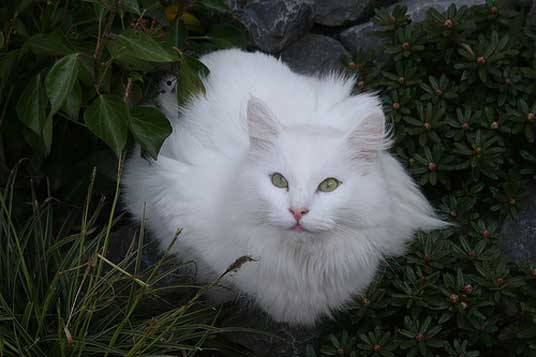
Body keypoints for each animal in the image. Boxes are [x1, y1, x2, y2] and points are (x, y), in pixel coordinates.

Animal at [123, 48, 446, 324]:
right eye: (279, 180)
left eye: (329, 185)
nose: (298, 211)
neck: (301, 265)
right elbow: (214, 276)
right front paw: (220, 295)